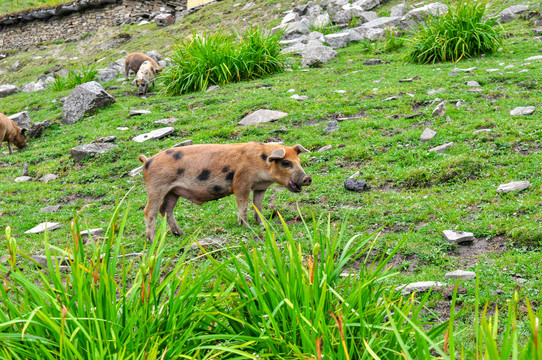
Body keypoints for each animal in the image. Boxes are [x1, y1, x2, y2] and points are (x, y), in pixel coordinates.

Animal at [138, 142, 312, 243]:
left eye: (299, 161)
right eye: (286, 162)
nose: (307, 178)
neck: (262, 162)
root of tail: (147, 161)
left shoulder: (260, 187)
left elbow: (258, 205)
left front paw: (263, 224)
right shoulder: (241, 182)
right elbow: (243, 204)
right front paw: (245, 225)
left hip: (173, 192)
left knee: (167, 210)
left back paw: (180, 234)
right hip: (156, 187)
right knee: (149, 211)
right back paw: (152, 241)